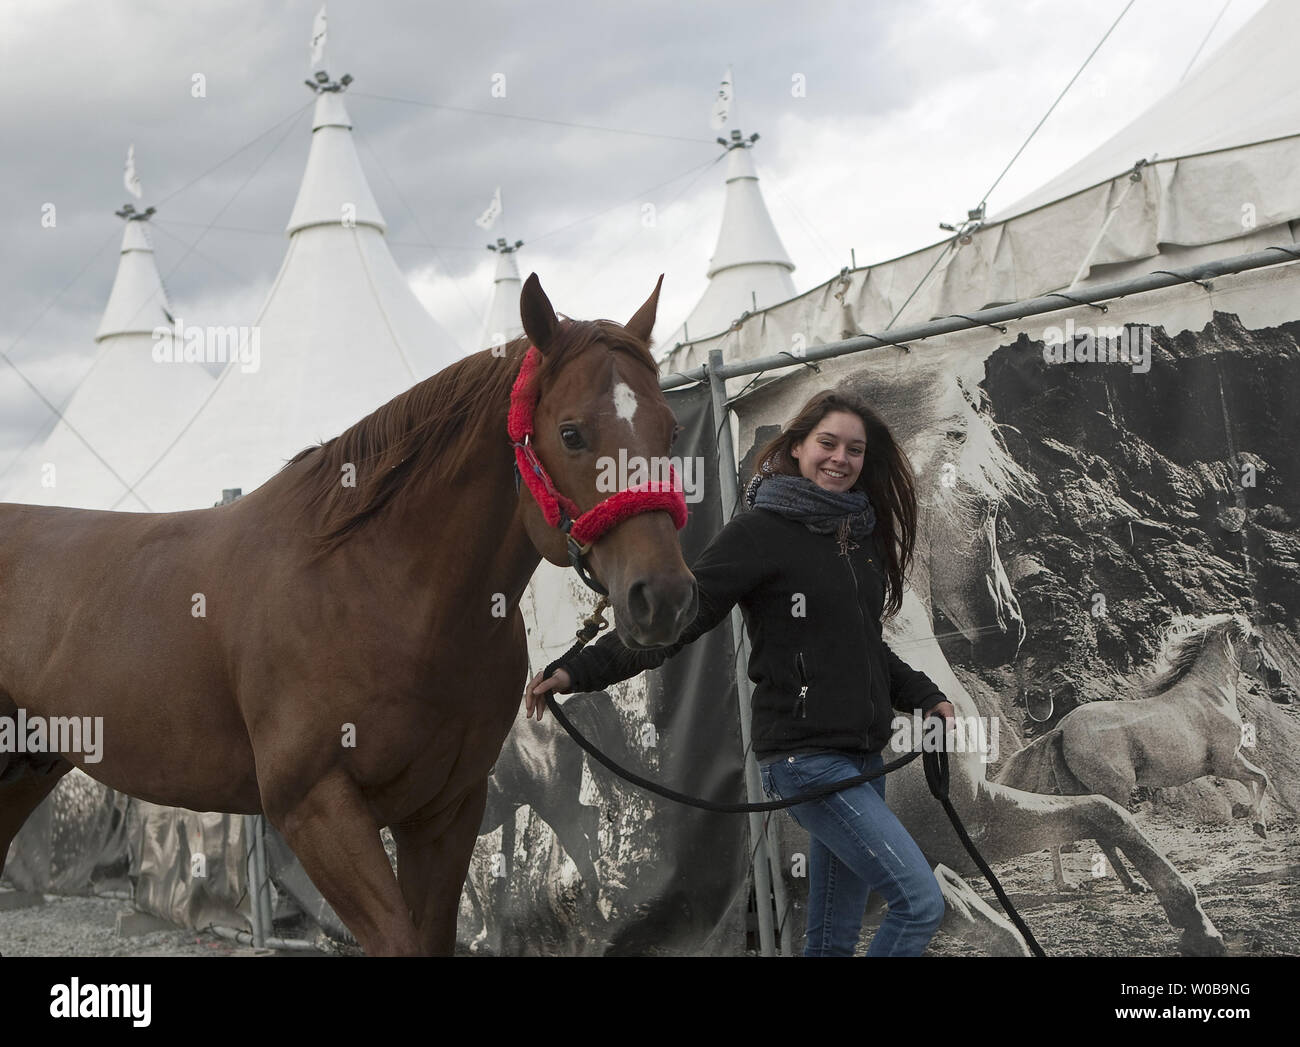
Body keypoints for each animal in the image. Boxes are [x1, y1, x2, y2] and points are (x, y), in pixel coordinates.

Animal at [0, 271, 702, 957]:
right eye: (571, 433)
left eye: (670, 430)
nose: (664, 595)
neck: (373, 591)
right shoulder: (316, 809)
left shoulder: (445, 809)